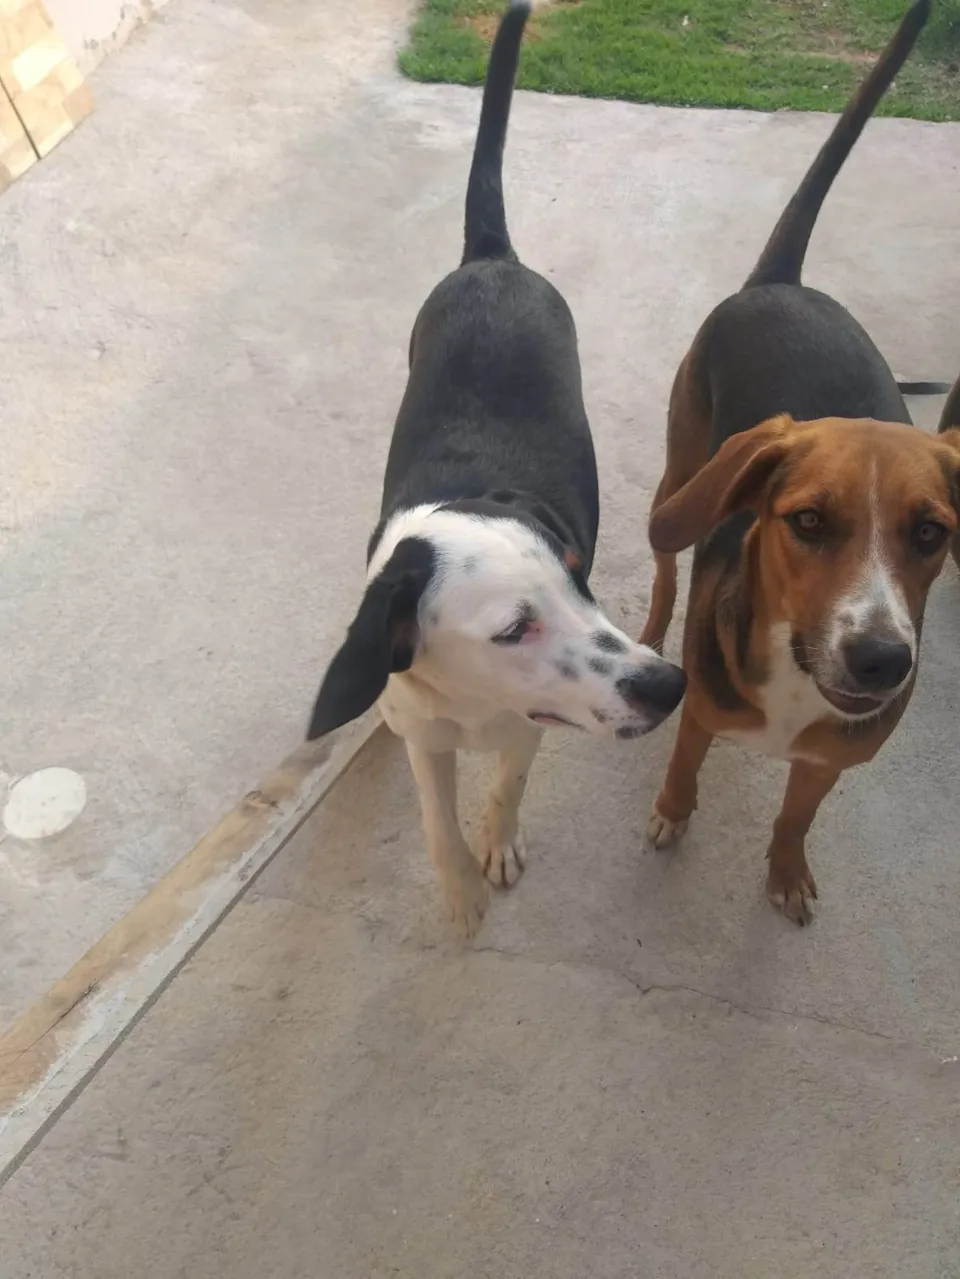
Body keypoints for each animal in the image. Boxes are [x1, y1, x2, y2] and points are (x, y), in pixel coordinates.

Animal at [306, 0, 686, 937]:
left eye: (581, 577)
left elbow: (508, 783)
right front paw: (458, 890)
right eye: (514, 628)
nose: (669, 683)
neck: (476, 704)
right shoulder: (424, 732)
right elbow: (435, 815)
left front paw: (499, 844)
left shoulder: (528, 729)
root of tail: (492, 256)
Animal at [638, 0, 960, 924]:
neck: (797, 669)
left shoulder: (827, 764)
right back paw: (653, 622)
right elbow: (684, 765)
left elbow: (795, 816)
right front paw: (671, 813)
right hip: (681, 475)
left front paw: (785, 870)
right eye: (808, 521)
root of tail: (781, 280)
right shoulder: (701, 717)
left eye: (932, 533)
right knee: (666, 559)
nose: (882, 661)